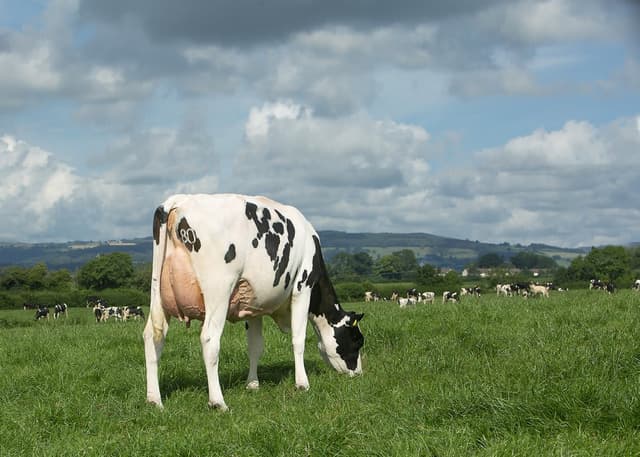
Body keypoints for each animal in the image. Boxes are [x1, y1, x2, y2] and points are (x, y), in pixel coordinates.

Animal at [143, 194, 365, 411]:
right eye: (357, 340)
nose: (359, 373)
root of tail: (178, 201)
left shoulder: (253, 305)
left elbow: (255, 346)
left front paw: (252, 384)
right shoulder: (303, 288)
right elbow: (298, 339)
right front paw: (302, 383)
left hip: (157, 293)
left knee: (153, 336)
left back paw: (155, 400)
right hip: (219, 290)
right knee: (209, 339)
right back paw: (218, 401)